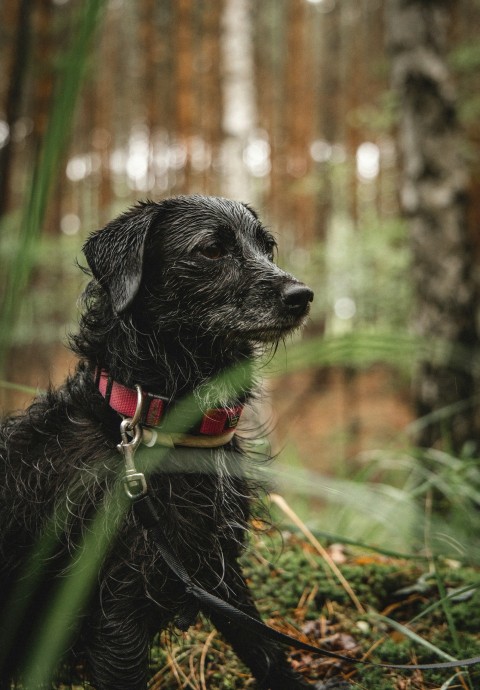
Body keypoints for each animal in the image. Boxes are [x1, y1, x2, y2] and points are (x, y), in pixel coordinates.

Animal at [0, 195, 322, 688]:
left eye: (267, 246)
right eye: (212, 249)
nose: (302, 296)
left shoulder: (215, 569)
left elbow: (266, 650)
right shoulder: (116, 619)